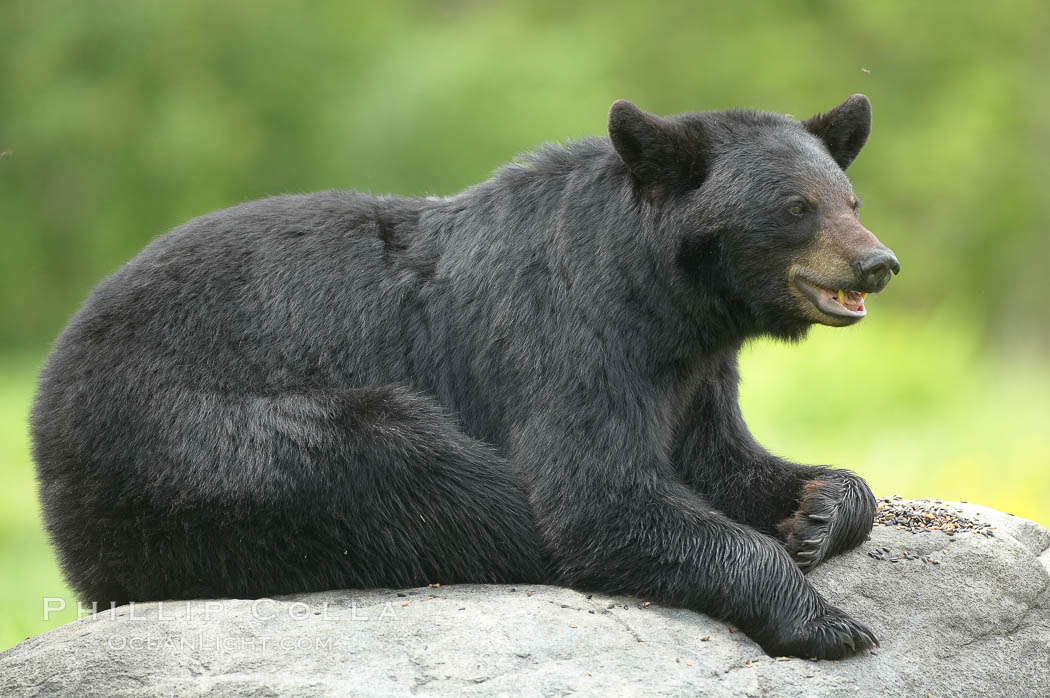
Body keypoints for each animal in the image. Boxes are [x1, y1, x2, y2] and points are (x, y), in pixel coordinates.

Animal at [37, 93, 898, 659]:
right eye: (796, 205)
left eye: (850, 197)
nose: (877, 262)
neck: (659, 293)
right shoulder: (568, 336)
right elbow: (598, 496)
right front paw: (828, 620)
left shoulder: (693, 369)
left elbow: (723, 458)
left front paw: (818, 511)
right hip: (201, 439)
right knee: (417, 469)